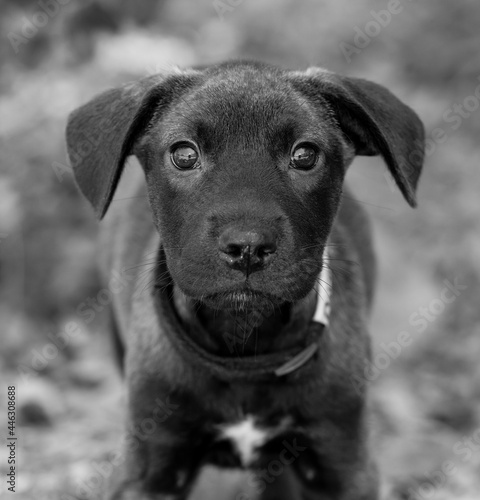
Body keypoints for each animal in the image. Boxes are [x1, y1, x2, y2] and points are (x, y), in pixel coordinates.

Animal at [64, 60, 424, 498]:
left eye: (305, 155)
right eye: (184, 154)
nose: (248, 247)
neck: (244, 349)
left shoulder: (344, 462)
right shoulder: (149, 470)